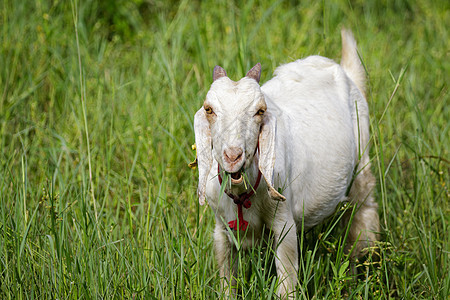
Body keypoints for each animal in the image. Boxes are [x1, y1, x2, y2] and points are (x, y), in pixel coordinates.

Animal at [193, 29, 380, 296]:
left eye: (260, 111)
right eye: (209, 109)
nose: (233, 156)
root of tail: (343, 70)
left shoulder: (284, 225)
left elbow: (287, 283)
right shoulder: (221, 229)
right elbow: (227, 281)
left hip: (362, 160)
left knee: (361, 219)